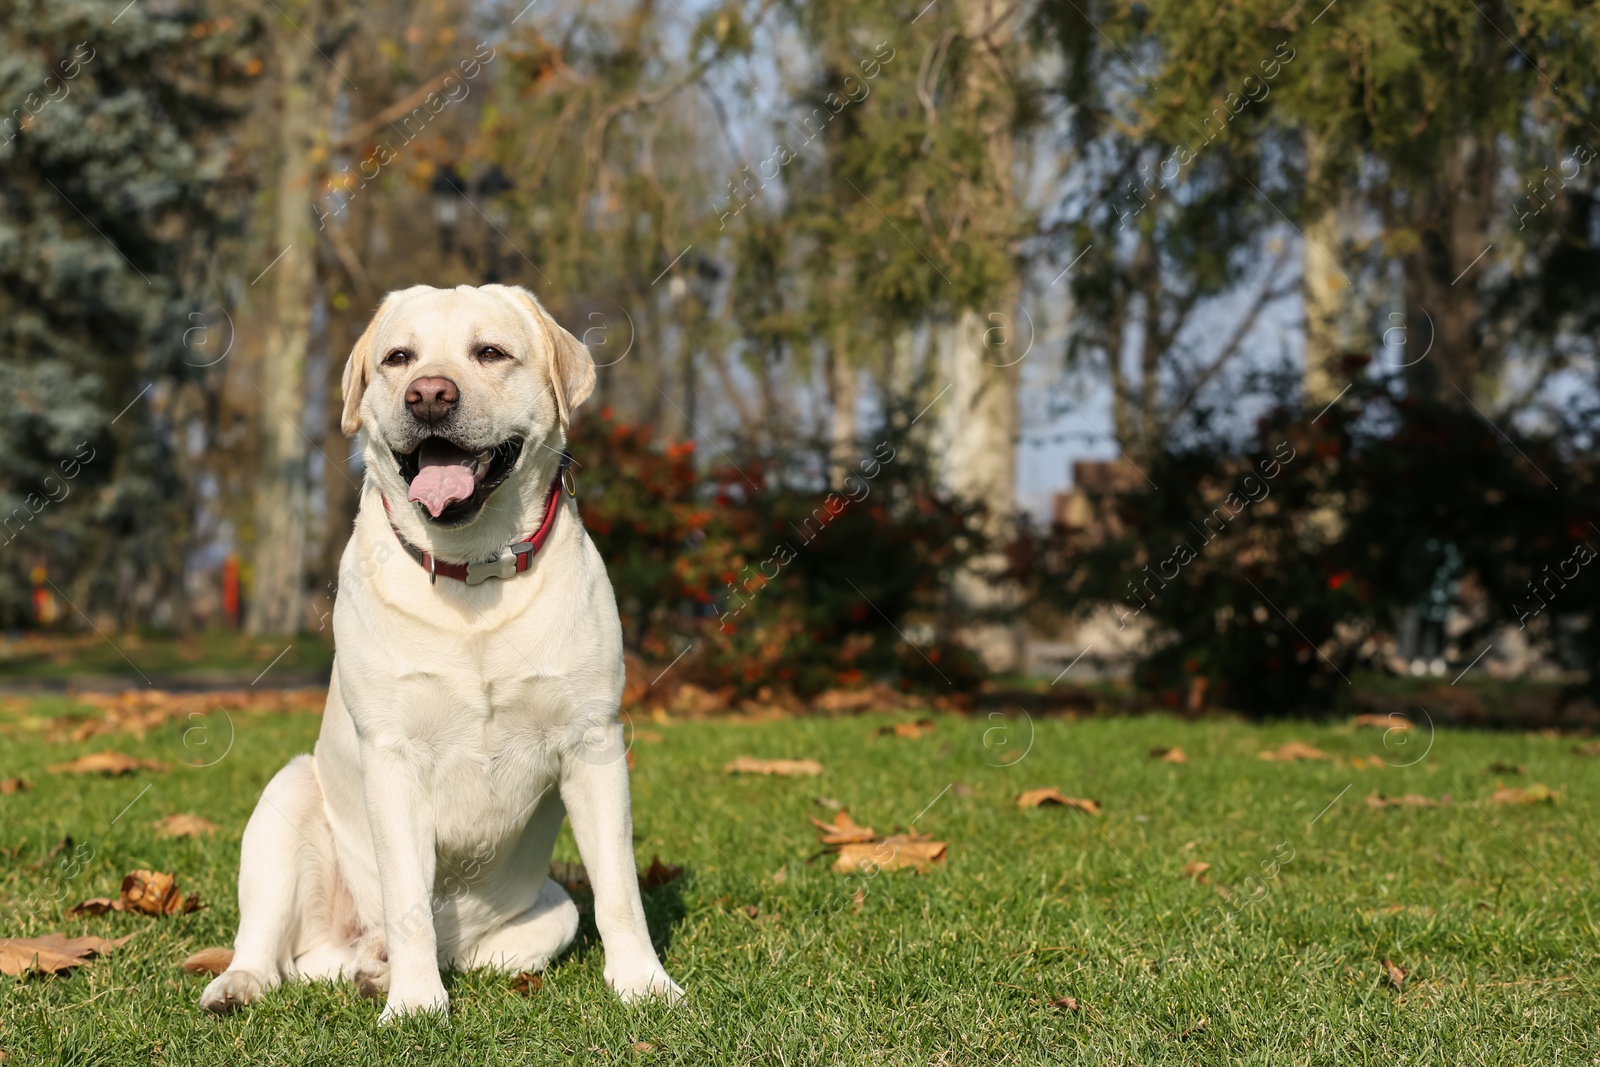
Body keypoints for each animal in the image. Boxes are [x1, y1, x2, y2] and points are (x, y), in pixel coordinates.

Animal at [201, 287, 681, 1023]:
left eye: (491, 352)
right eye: (399, 358)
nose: (429, 395)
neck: (471, 572)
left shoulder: (594, 743)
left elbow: (620, 889)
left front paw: (643, 983)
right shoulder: (394, 757)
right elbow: (408, 900)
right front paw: (415, 1005)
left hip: (549, 913)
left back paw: (377, 971)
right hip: (284, 801)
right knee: (270, 944)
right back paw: (251, 982)